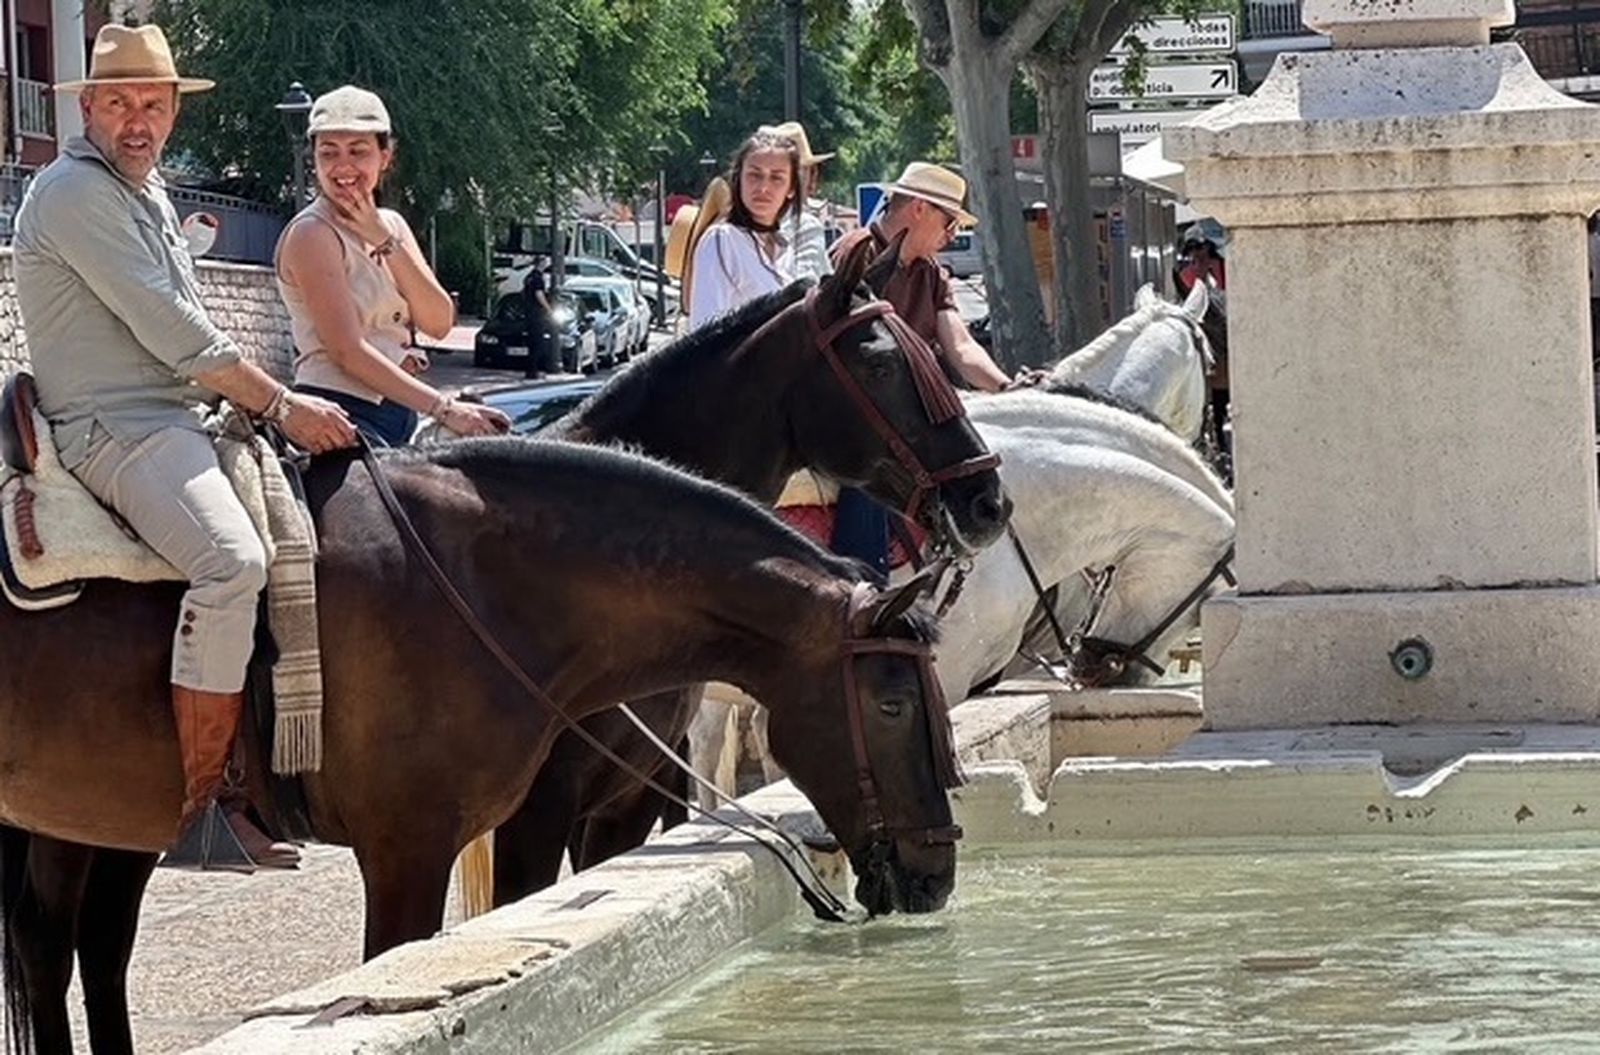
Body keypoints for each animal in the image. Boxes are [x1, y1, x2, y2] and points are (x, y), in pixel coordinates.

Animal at [0, 439, 964, 1055]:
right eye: (889, 701)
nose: (935, 870)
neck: (482, 583)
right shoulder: (411, 849)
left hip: (104, 817)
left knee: (76, 948)